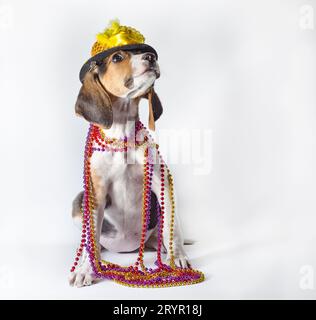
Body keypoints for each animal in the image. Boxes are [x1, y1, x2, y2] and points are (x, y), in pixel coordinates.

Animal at [68, 47, 190, 288]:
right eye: (117, 57)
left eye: (145, 52)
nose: (152, 58)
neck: (122, 136)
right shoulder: (96, 192)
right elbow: (91, 238)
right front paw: (85, 269)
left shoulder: (163, 182)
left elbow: (172, 229)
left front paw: (177, 258)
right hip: (79, 201)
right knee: (92, 241)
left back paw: (164, 248)